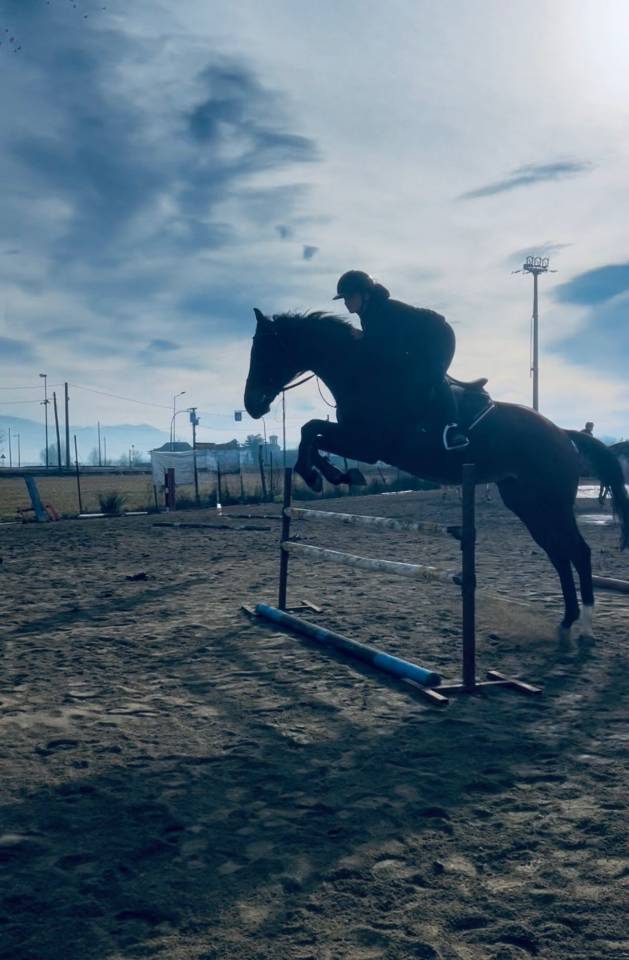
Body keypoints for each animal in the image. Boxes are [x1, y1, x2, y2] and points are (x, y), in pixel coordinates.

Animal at [244, 308, 629, 640]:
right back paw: (566, 621)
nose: (251, 405)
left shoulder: (370, 443)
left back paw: (585, 627)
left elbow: (311, 430)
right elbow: (312, 433)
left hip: (552, 501)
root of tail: (563, 433)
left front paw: (328, 475)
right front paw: (330, 475)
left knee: (577, 551)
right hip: (527, 503)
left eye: (264, 352)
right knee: (559, 553)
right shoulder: (359, 439)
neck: (365, 373)